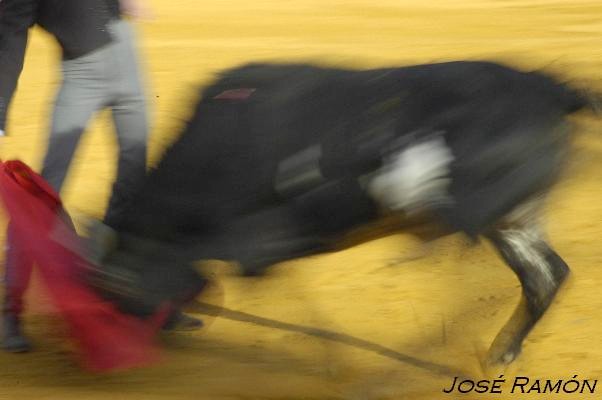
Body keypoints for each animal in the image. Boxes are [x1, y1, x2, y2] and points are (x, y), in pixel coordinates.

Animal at [89, 61, 592, 364]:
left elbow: (280, 290)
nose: (174, 326)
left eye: (116, 285)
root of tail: (550, 88)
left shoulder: (259, 238)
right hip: (512, 221)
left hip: (489, 217)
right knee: (546, 276)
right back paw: (498, 354)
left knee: (526, 276)